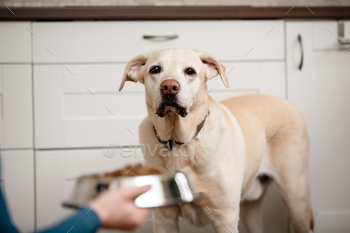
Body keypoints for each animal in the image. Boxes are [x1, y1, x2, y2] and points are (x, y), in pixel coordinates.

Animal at [119, 48, 314, 232]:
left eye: (190, 71)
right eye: (155, 69)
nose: (169, 87)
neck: (180, 143)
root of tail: (289, 103)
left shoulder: (225, 219)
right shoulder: (164, 219)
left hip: (296, 199)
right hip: (251, 210)